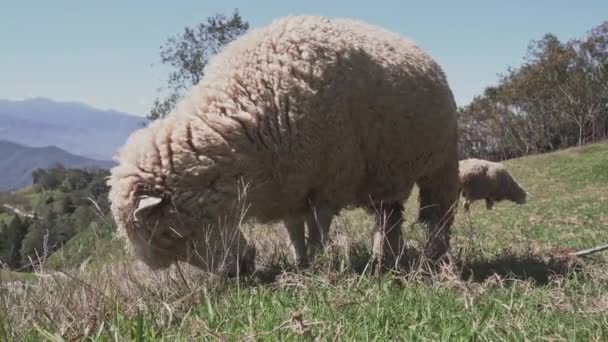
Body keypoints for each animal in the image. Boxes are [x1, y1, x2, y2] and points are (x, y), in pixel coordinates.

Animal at [107, 14, 458, 276]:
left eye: (171, 234)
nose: (236, 273)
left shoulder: (327, 180)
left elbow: (318, 227)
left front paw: (320, 261)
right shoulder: (290, 186)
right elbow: (294, 230)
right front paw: (301, 262)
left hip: (442, 162)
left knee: (439, 214)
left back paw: (435, 257)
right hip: (385, 173)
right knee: (390, 217)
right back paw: (387, 259)